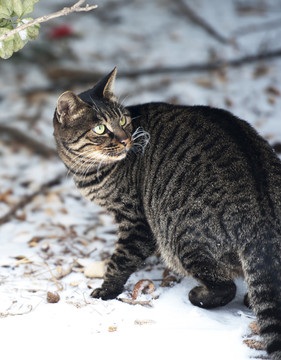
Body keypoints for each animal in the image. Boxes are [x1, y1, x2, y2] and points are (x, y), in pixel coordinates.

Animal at [53, 68, 280, 360]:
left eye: (123, 120)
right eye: (100, 128)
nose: (126, 139)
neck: (88, 171)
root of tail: (262, 213)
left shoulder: (136, 222)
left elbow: (120, 260)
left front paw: (106, 290)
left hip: (181, 238)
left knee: (225, 286)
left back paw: (199, 295)